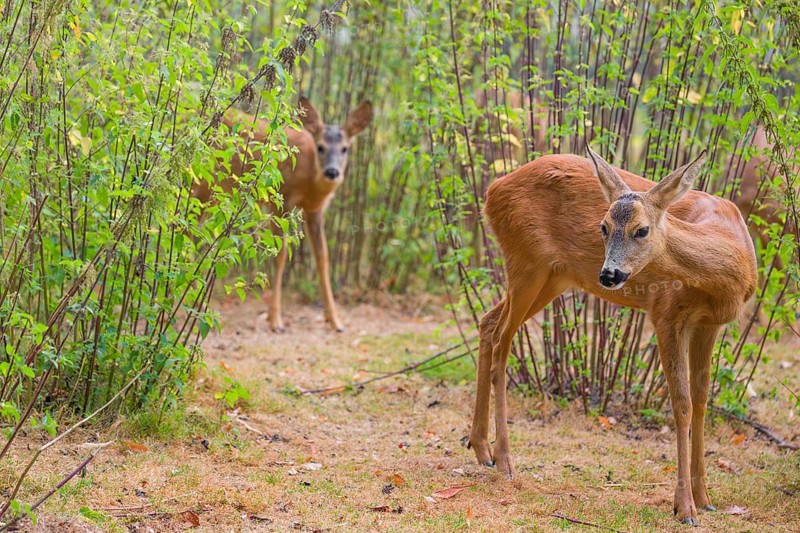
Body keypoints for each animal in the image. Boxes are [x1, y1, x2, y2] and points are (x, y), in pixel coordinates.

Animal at [193, 98, 373, 332]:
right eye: (321, 147)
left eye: (345, 149)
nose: (332, 172)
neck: (309, 177)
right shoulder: (281, 199)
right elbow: (280, 254)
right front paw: (275, 320)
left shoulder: (315, 209)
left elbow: (322, 257)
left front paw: (335, 321)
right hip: (198, 184)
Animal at [468, 147, 757, 525]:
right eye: (603, 227)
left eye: (642, 230)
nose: (609, 274)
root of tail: (493, 190)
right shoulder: (666, 313)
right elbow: (681, 405)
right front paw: (684, 507)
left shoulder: (710, 324)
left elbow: (701, 401)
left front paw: (705, 498)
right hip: (526, 263)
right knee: (503, 339)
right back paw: (504, 460)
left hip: (552, 277)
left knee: (488, 323)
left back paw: (481, 449)